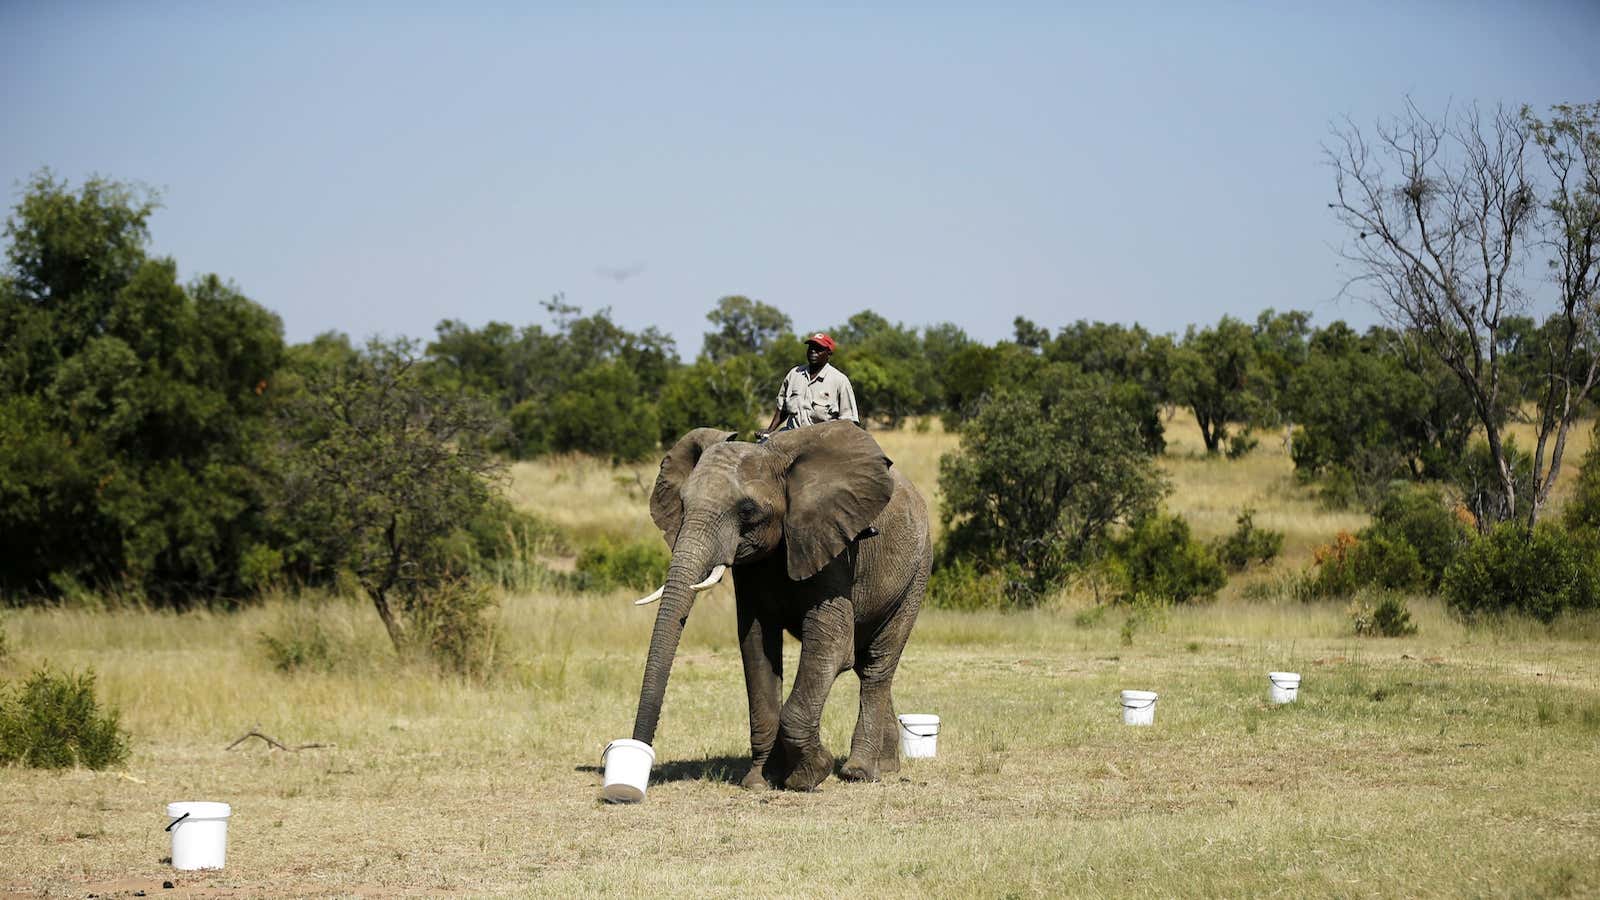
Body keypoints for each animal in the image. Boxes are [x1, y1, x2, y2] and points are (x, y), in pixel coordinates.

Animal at [627, 416, 934, 787]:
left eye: (747, 510)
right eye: (683, 505)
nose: (637, 754)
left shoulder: (832, 546)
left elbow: (832, 645)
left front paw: (807, 775)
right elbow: (756, 645)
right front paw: (759, 781)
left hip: (917, 571)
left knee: (877, 664)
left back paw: (858, 772)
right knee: (866, 665)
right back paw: (886, 767)